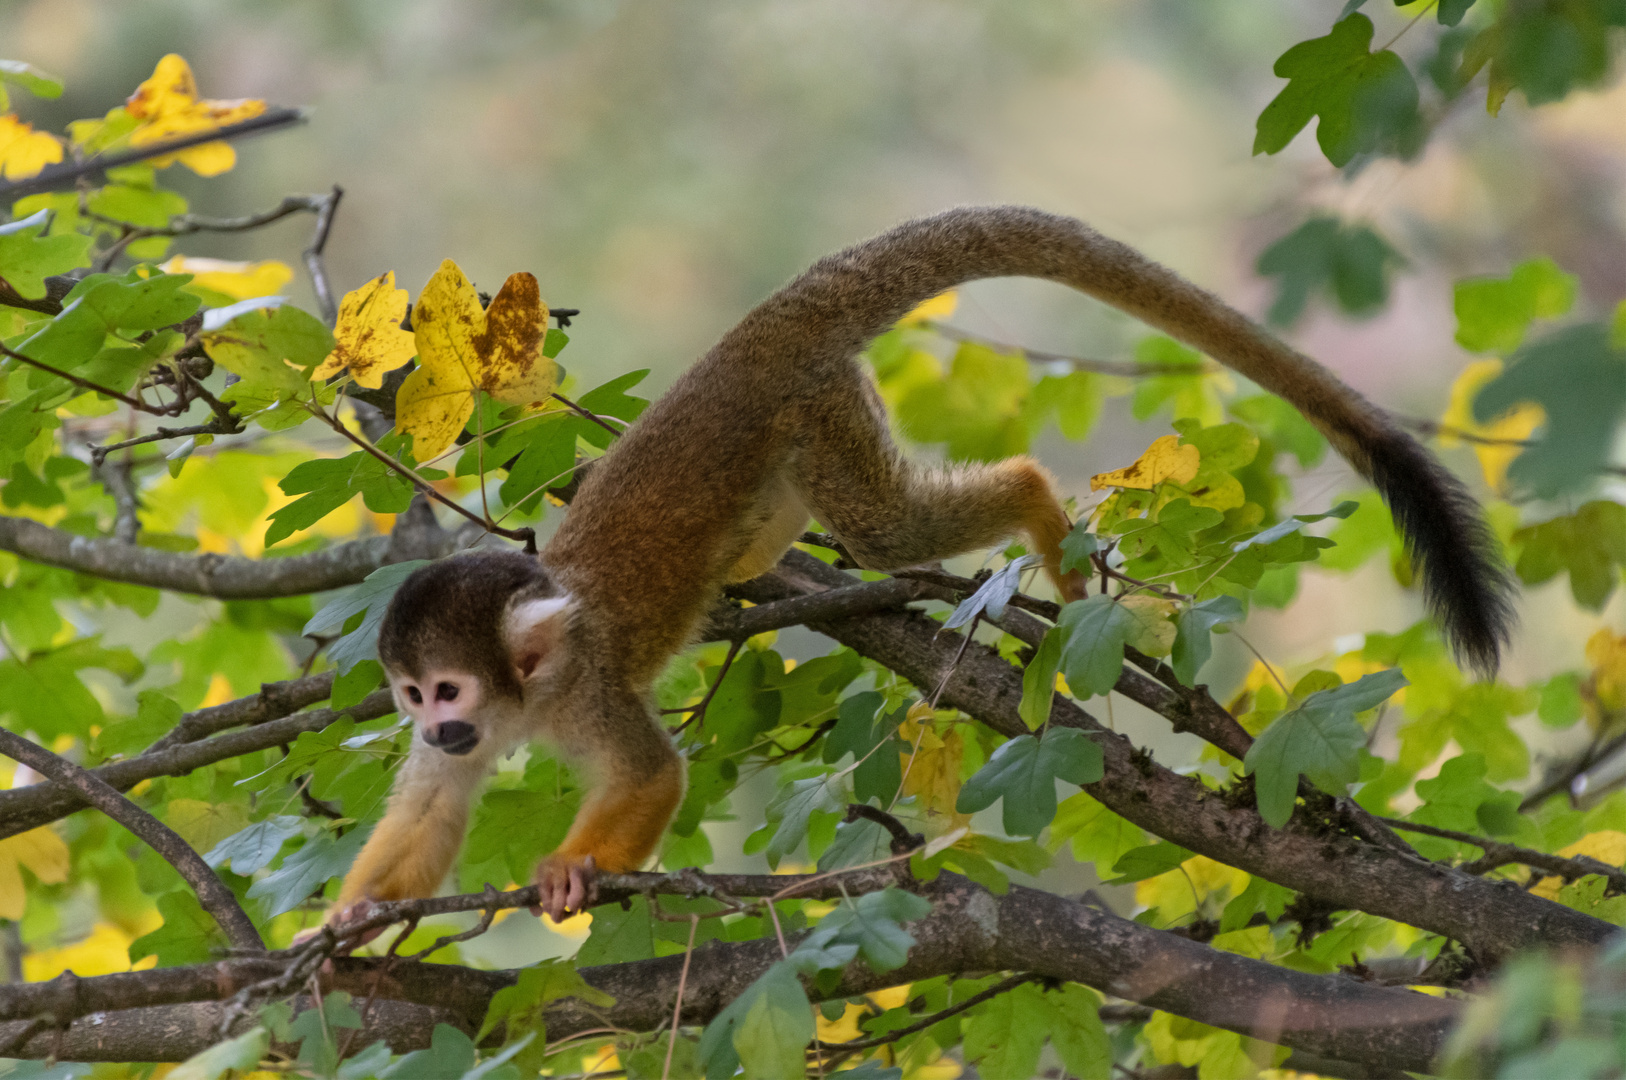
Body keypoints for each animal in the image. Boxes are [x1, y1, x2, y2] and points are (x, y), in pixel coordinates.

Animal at [330, 204, 1508, 930]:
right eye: (413, 698)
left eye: (447, 690)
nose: (432, 726)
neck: (526, 699)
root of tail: (755, 336)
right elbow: (431, 814)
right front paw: (349, 920)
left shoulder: (587, 688)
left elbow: (651, 775)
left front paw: (579, 866)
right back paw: (760, 561)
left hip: (818, 411)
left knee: (884, 533)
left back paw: (1034, 509)